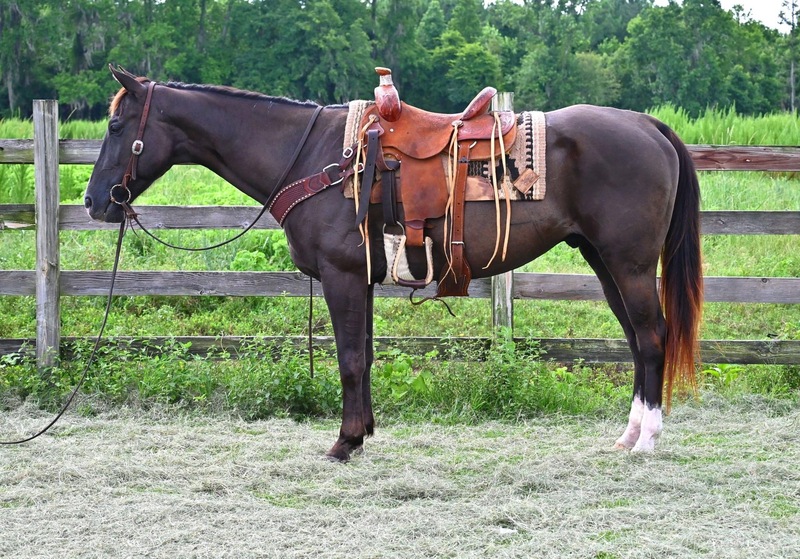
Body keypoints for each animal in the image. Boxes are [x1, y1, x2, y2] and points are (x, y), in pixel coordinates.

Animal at [84, 66, 703, 461]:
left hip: (627, 263)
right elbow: (365, 359)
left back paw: (647, 441)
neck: (314, 157)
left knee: (652, 338)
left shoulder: (341, 276)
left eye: (116, 126)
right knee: (638, 341)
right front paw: (364, 433)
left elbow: (350, 361)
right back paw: (628, 435)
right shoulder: (359, 278)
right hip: (604, 261)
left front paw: (343, 443)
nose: (94, 202)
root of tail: (648, 126)